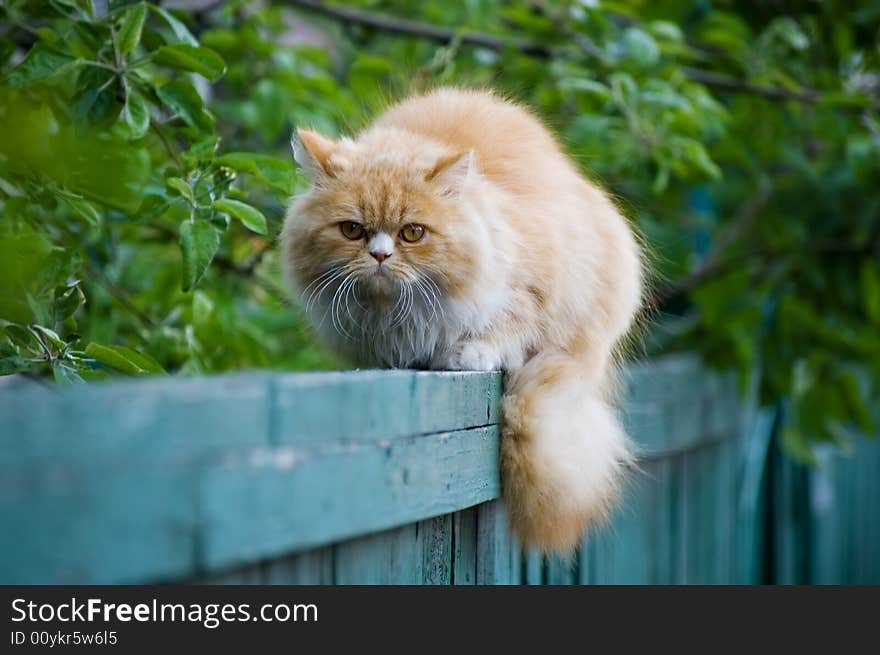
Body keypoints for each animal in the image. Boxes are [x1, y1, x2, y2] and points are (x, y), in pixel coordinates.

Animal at [284, 84, 648, 552]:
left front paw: (466, 354)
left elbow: (507, 326)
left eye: (412, 233)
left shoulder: (535, 288)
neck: (397, 318)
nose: (380, 256)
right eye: (352, 230)